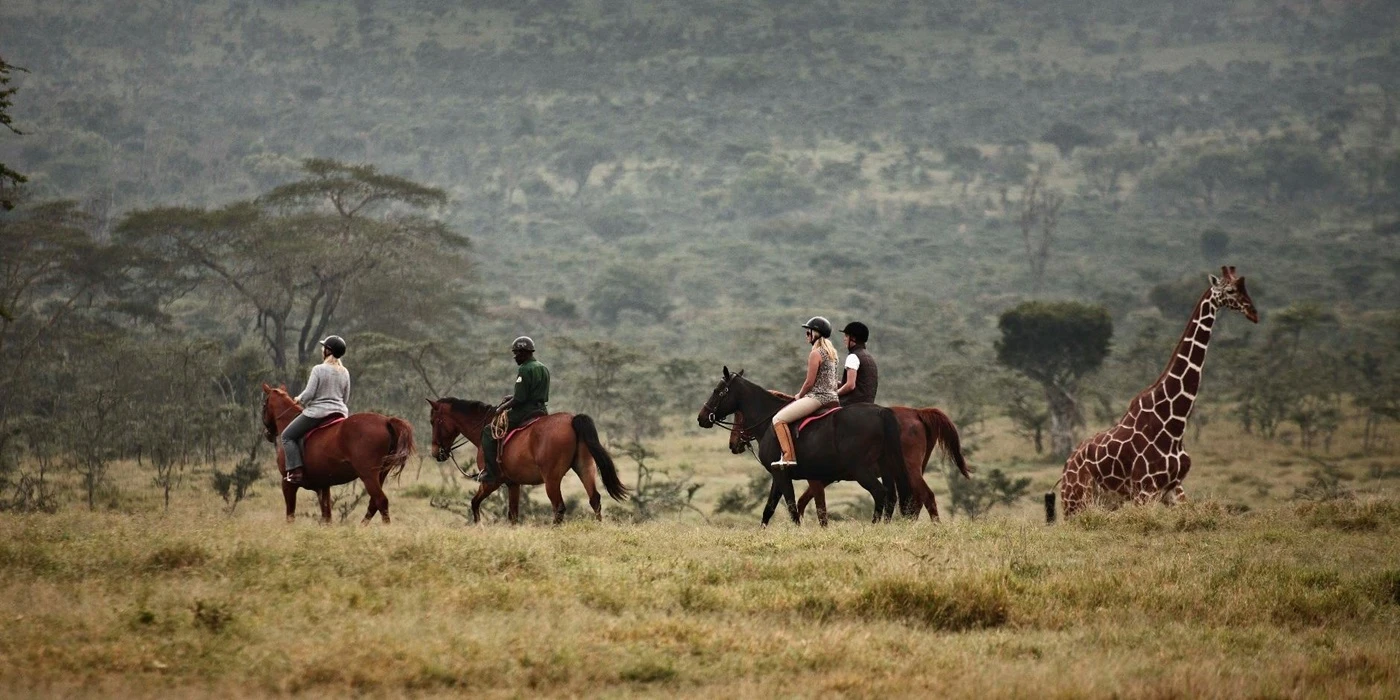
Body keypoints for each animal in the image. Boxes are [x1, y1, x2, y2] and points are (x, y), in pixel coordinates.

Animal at [260, 383, 414, 526]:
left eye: (264, 405)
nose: (268, 434)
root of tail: (386, 421)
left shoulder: (287, 483)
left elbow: (290, 515)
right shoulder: (322, 486)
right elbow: (326, 516)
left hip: (368, 475)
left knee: (381, 501)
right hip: (381, 474)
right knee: (374, 504)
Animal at [420, 397, 630, 523]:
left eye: (433, 421)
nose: (436, 452)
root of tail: (572, 419)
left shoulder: (491, 482)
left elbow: (474, 503)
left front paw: (478, 526)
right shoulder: (513, 483)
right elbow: (512, 514)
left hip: (551, 479)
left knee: (559, 507)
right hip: (584, 467)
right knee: (595, 499)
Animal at [728, 400, 968, 526]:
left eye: (739, 416)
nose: (733, 443)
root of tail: (918, 413)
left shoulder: (807, 478)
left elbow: (809, 506)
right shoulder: (803, 477)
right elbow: (796, 505)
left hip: (892, 470)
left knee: (919, 496)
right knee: (908, 499)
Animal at [1058, 264, 1260, 518]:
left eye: (1245, 288)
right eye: (1231, 290)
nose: (1253, 313)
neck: (1174, 424)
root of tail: (1067, 466)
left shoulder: (1172, 490)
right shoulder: (1145, 489)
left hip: (1104, 501)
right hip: (1076, 500)